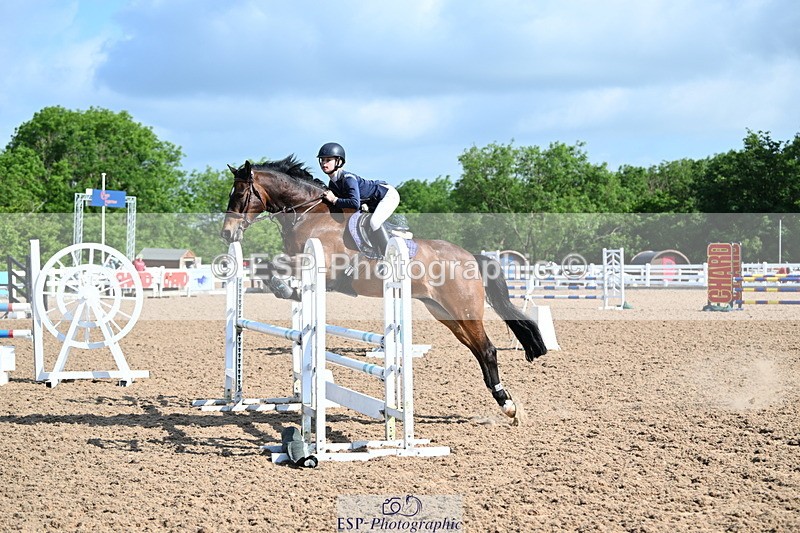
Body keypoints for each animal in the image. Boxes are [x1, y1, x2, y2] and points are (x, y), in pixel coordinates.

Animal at [221, 157, 547, 424]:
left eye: (240, 194)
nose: (227, 233)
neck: (309, 214)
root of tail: (470, 257)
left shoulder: (320, 263)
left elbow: (272, 265)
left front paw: (286, 289)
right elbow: (267, 267)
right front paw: (290, 291)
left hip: (464, 309)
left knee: (488, 349)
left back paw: (508, 406)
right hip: (444, 313)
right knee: (477, 350)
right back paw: (504, 402)